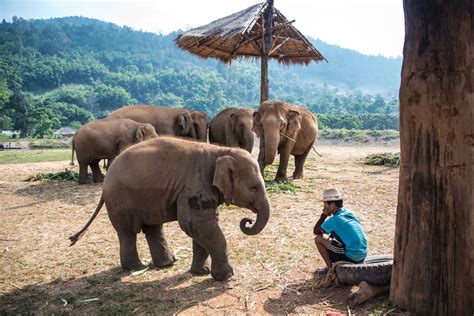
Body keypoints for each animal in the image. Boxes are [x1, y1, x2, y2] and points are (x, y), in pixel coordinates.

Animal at [68, 137, 272, 280]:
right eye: (254, 187)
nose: (247, 221)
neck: (220, 150)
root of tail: (105, 183)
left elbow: (200, 228)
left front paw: (202, 272)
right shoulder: (194, 188)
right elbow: (197, 225)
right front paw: (226, 276)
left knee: (152, 228)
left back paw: (167, 263)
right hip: (120, 201)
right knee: (128, 233)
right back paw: (136, 268)